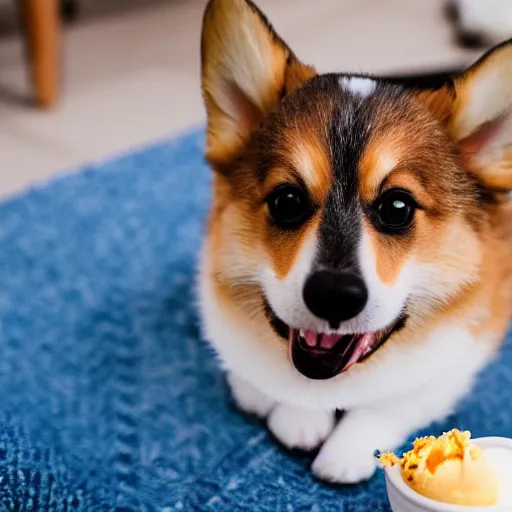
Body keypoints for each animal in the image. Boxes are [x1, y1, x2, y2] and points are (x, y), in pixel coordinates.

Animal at [197, 0, 512, 482]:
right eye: (287, 200)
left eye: (397, 207)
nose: (333, 296)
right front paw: (290, 411)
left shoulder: (468, 343)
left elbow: (399, 398)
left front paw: (346, 448)